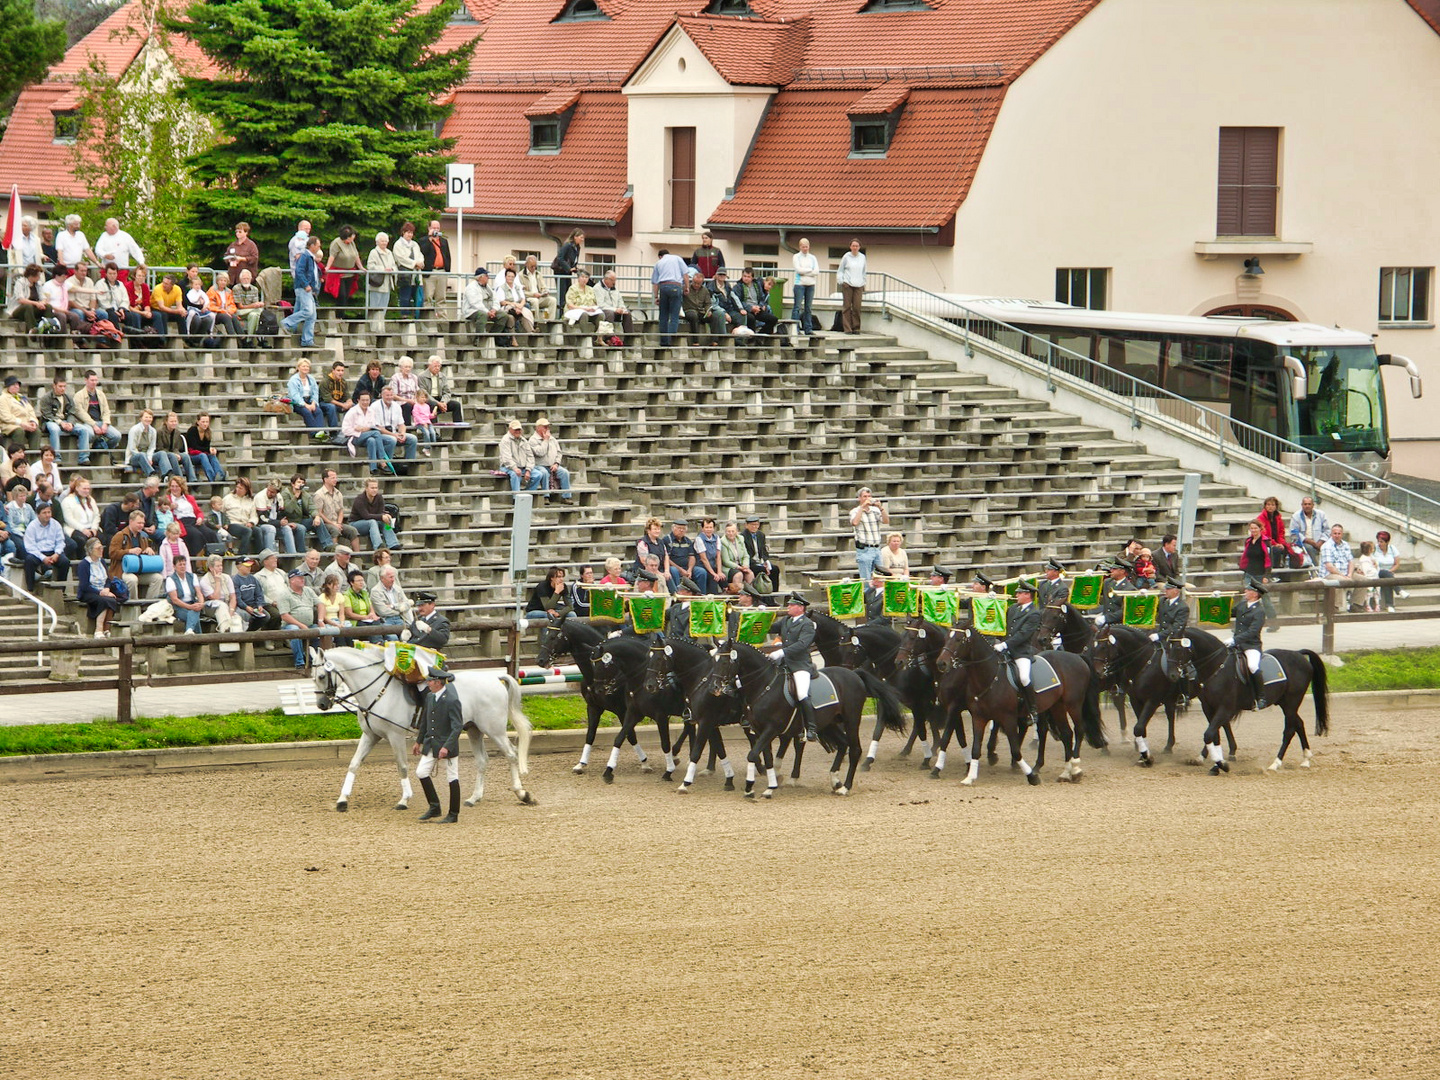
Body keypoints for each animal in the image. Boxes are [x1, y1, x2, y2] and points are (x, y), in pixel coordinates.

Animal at [312, 650, 538, 812]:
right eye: (313, 677)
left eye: (322, 676)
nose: (322, 704)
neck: (377, 692)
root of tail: (494, 678)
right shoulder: (370, 736)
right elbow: (353, 764)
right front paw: (342, 800)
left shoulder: (395, 736)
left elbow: (402, 766)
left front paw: (404, 800)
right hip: (474, 729)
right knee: (483, 761)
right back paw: (474, 798)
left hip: (494, 729)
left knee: (511, 754)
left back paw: (522, 793)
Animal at [535, 610, 648, 777]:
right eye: (546, 634)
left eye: (554, 637)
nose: (540, 660)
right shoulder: (593, 707)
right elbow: (590, 735)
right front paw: (581, 764)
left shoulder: (624, 711)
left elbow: (629, 735)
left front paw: (644, 762)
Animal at [708, 639, 898, 800]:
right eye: (714, 661)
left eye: (724, 662)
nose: (713, 688)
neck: (765, 686)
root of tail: (854, 674)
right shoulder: (761, 730)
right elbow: (766, 758)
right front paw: (769, 787)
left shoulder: (771, 729)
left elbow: (753, 754)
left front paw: (750, 788)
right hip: (829, 723)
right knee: (843, 744)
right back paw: (835, 780)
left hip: (851, 720)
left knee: (855, 750)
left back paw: (845, 787)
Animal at [1169, 630, 1324, 771]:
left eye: (1178, 648)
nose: (1173, 674)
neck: (1217, 668)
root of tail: (1298, 654)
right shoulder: (1208, 707)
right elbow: (1214, 735)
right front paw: (1216, 764)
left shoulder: (1225, 708)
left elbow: (1209, 734)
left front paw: (1222, 764)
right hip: (1284, 703)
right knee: (1299, 724)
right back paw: (1306, 760)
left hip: (1291, 703)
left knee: (1289, 730)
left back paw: (1275, 763)